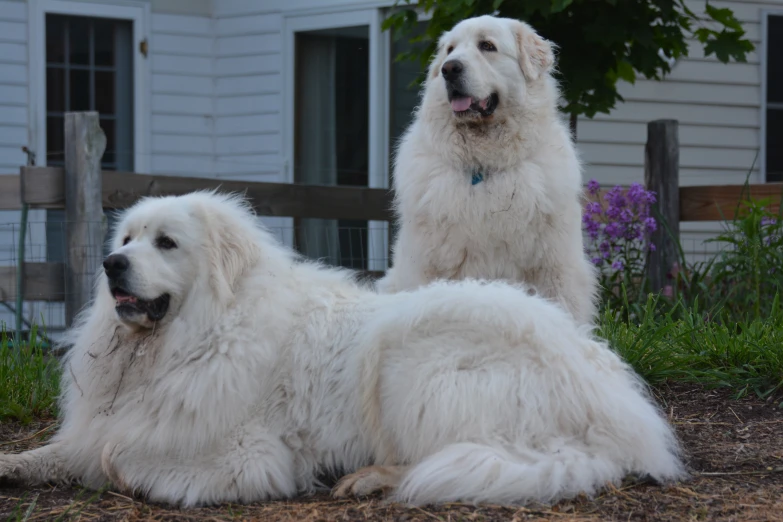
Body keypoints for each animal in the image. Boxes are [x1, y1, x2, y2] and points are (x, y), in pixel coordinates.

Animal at [0, 191, 688, 504]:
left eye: (166, 243)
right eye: (128, 239)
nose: (112, 265)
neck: (207, 330)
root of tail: (617, 414)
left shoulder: (250, 455)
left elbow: (119, 457)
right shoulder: (103, 421)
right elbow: (61, 450)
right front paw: (17, 464)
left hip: (407, 355)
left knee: (439, 458)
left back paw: (368, 477)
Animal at [382, 16, 600, 322]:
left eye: (487, 46)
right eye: (450, 50)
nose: (449, 68)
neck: (483, 166)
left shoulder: (554, 266)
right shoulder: (427, 264)